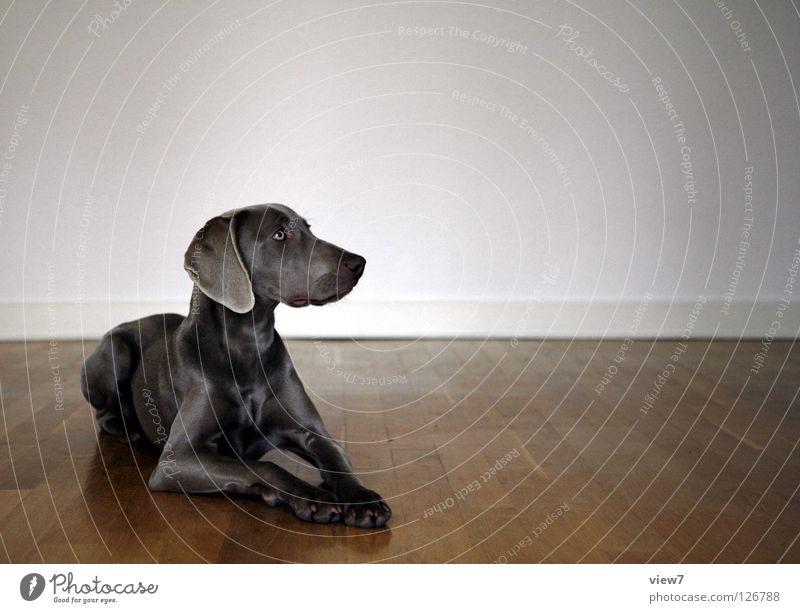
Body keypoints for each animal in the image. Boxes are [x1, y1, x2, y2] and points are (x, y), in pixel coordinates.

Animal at [80, 204, 390, 524]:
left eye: (309, 229)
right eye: (280, 234)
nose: (359, 263)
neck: (247, 347)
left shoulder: (313, 433)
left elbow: (336, 458)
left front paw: (361, 497)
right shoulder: (177, 459)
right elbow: (264, 467)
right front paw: (311, 496)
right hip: (115, 351)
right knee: (103, 413)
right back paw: (127, 429)